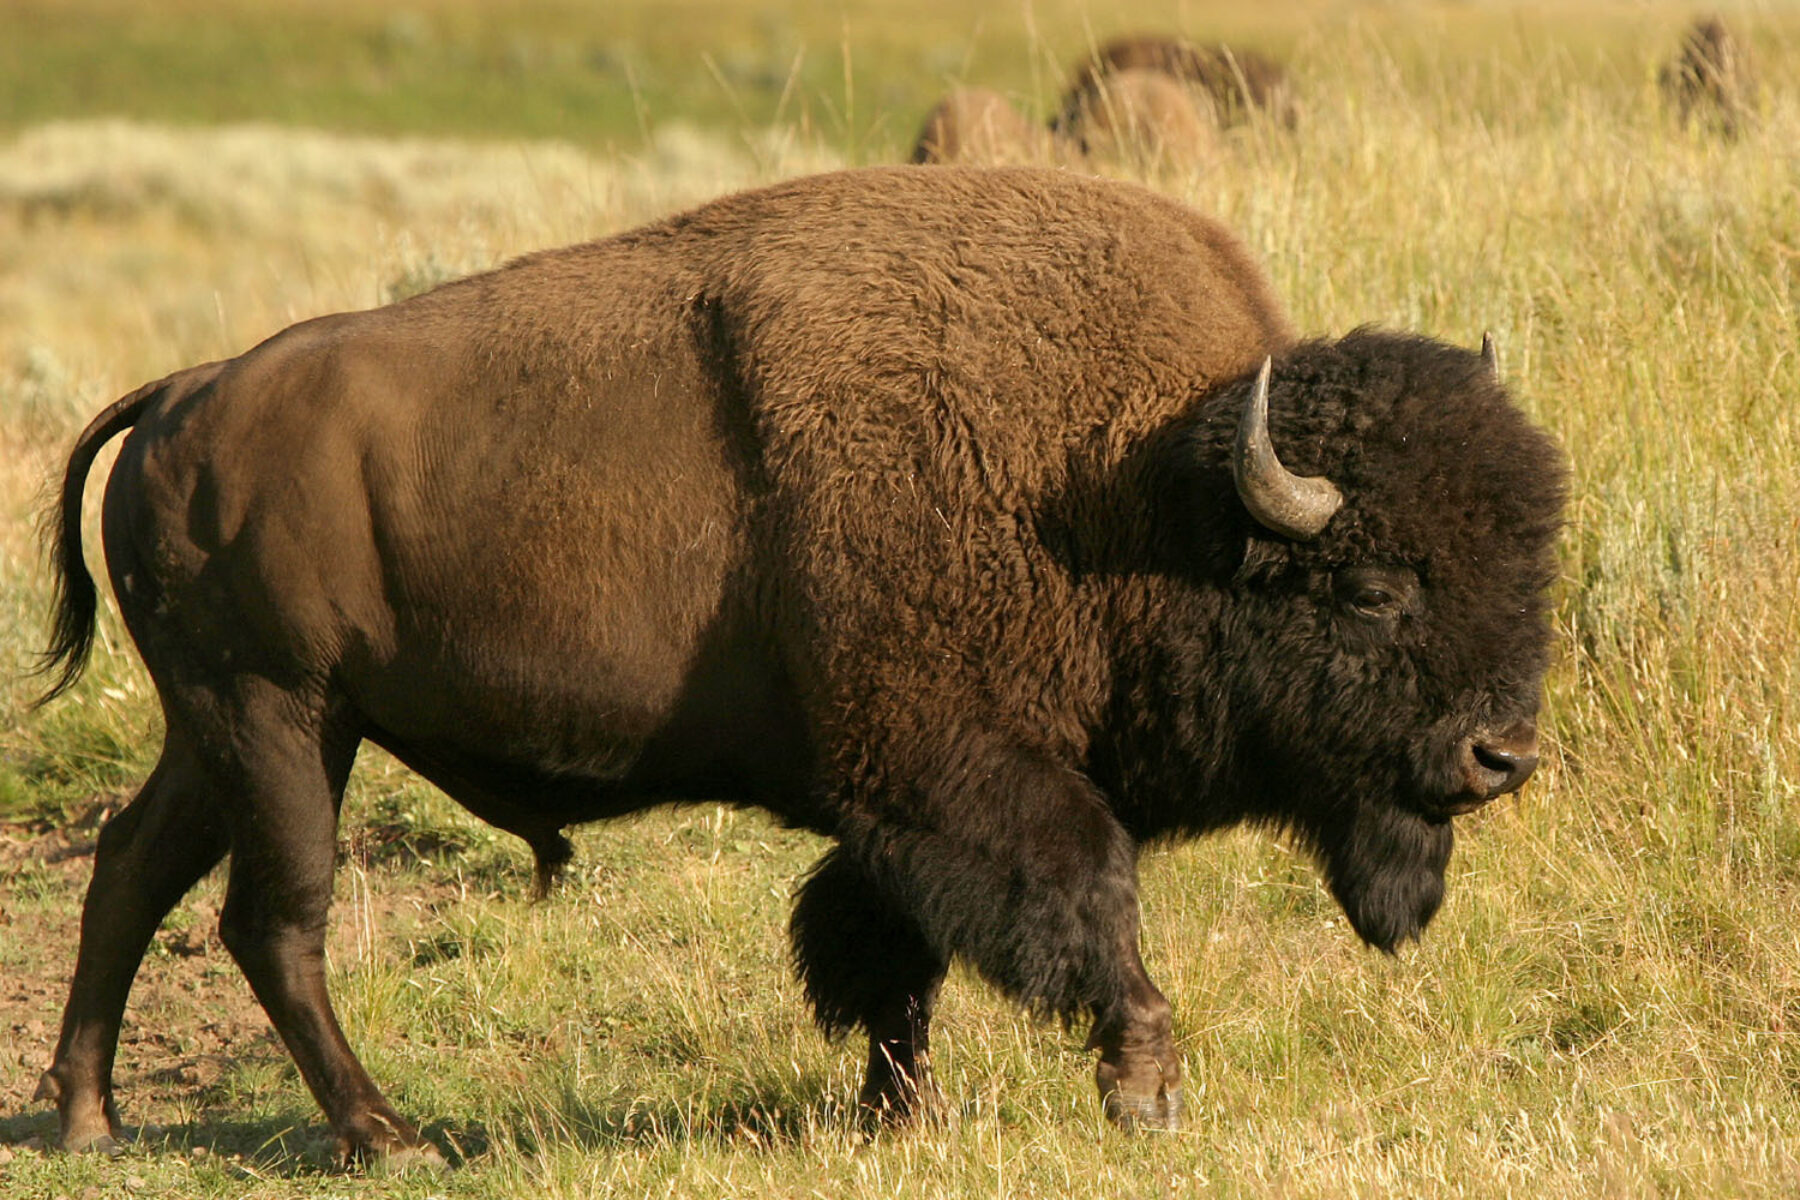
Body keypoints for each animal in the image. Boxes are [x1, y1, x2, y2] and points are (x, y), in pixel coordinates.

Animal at [33, 165, 1564, 1165]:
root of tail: (180, 396)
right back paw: (386, 1136)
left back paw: (90, 1122)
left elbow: (887, 958)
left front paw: (901, 1117)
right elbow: (1083, 907)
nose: (1500, 756)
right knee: (271, 921)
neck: (1131, 488)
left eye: (1527, 565)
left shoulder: (894, 809)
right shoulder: (961, 774)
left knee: (132, 866)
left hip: (228, 727)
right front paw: (1144, 1091)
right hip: (281, 718)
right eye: (1370, 587)